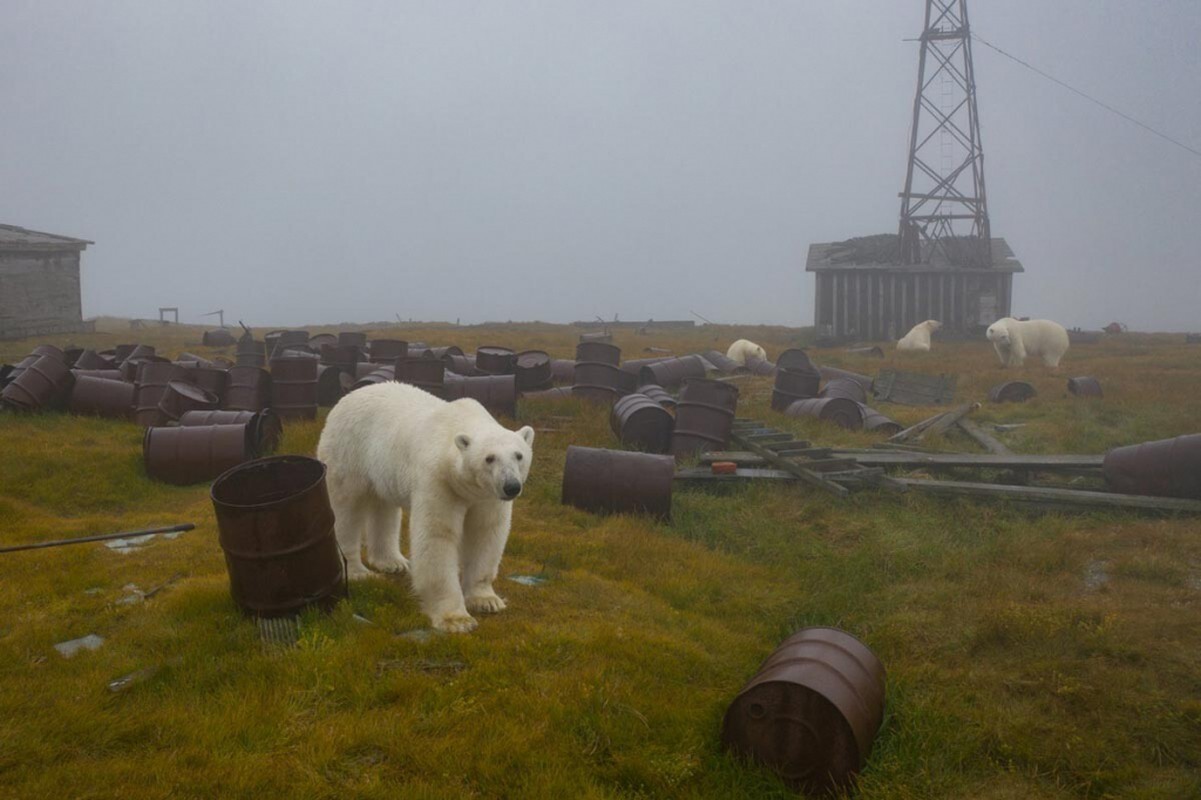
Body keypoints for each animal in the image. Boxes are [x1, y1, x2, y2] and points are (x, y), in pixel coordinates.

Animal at [317, 379, 533, 629]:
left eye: (519, 455)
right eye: (489, 458)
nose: (511, 487)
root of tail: (348, 396)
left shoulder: (487, 496)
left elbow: (485, 532)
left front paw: (486, 600)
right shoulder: (439, 480)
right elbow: (437, 535)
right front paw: (456, 619)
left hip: (382, 467)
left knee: (384, 506)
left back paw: (393, 562)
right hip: (348, 451)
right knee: (346, 508)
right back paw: (357, 571)